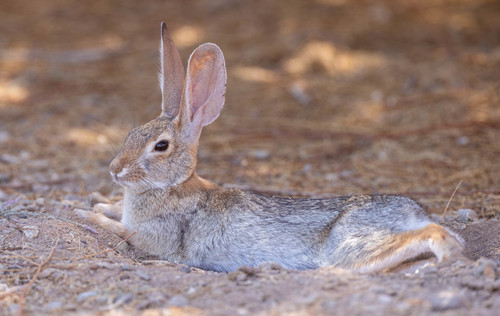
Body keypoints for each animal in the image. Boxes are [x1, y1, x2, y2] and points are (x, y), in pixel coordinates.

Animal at [76, 22, 462, 272]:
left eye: (160, 146)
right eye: (131, 132)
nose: (114, 170)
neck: (172, 186)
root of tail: (413, 212)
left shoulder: (154, 237)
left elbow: (121, 230)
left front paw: (85, 214)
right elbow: (115, 213)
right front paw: (97, 202)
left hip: (350, 248)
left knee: (427, 236)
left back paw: (446, 258)